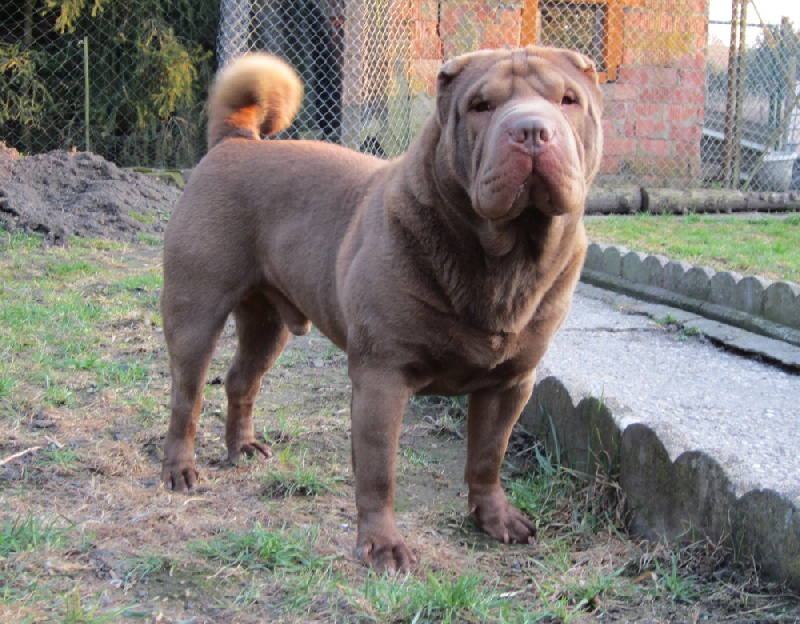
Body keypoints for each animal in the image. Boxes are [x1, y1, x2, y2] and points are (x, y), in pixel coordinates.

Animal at [160, 47, 603, 574]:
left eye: (568, 100)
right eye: (481, 106)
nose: (532, 129)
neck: (505, 260)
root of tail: (236, 141)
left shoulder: (511, 383)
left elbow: (487, 456)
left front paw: (494, 518)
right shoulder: (382, 376)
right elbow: (378, 471)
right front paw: (382, 545)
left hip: (267, 324)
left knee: (241, 381)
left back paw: (243, 448)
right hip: (195, 311)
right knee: (187, 396)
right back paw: (179, 470)